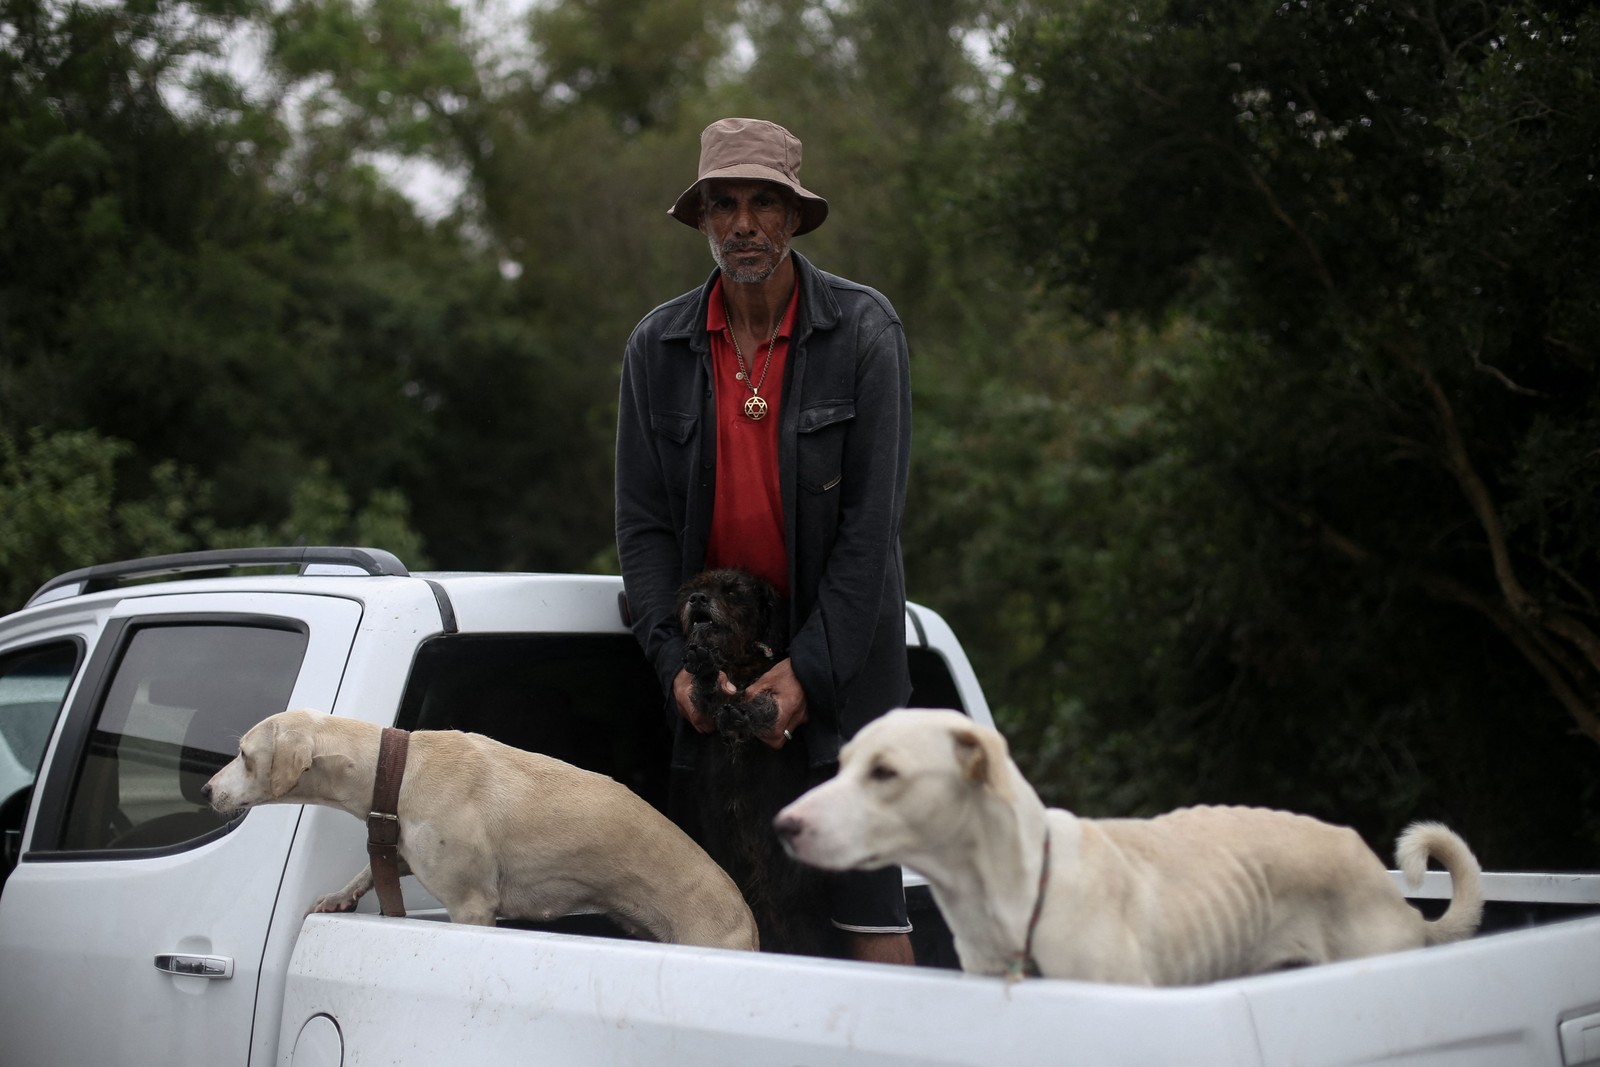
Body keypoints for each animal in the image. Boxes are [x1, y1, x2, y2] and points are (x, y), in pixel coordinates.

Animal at [204, 710, 761, 953]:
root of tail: (748, 918)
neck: (399, 768)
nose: (207, 790)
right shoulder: (405, 848)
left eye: (243, 754)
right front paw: (340, 895)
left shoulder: (472, 907)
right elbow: (370, 868)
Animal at [675, 566, 844, 959]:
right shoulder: (708, 709)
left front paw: (744, 711)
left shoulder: (774, 710)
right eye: (692, 590)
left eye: (733, 591)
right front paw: (704, 671)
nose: (698, 600)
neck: (737, 664)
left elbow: (765, 708)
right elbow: (707, 693)